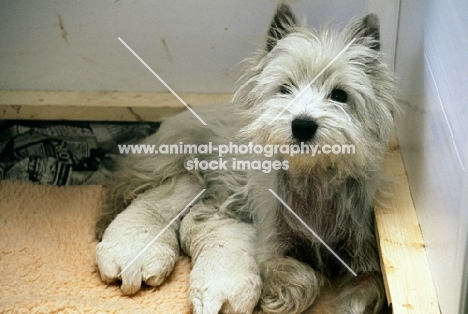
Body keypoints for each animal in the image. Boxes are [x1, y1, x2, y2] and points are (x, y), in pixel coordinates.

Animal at [97, 3, 396, 314]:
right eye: (285, 88)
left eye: (339, 94)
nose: (302, 125)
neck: (312, 179)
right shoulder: (271, 250)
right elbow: (302, 278)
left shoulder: (366, 263)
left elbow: (359, 295)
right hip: (161, 163)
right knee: (119, 185)